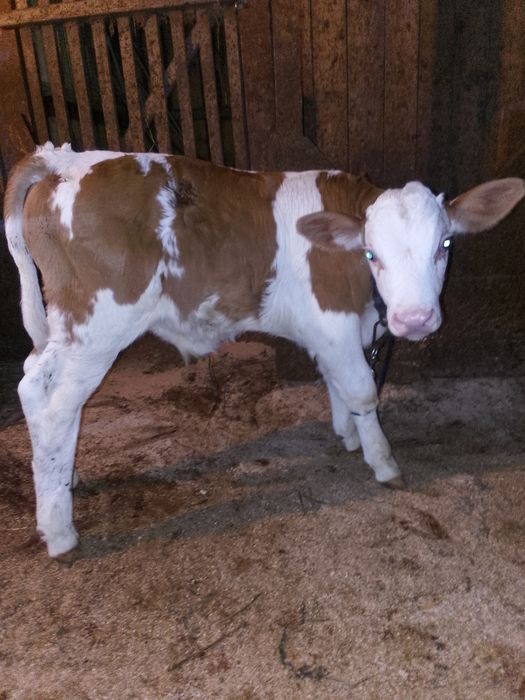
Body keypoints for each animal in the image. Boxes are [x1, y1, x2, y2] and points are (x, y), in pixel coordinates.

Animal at [4, 142, 524, 557]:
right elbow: (361, 390)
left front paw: (348, 435)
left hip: (64, 323)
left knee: (33, 379)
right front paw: (382, 460)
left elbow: (335, 382)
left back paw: (64, 477)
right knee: (53, 403)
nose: (415, 319)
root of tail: (64, 159)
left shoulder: (331, 334)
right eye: (372, 254)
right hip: (99, 326)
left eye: (445, 244)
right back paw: (59, 530)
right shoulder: (332, 320)